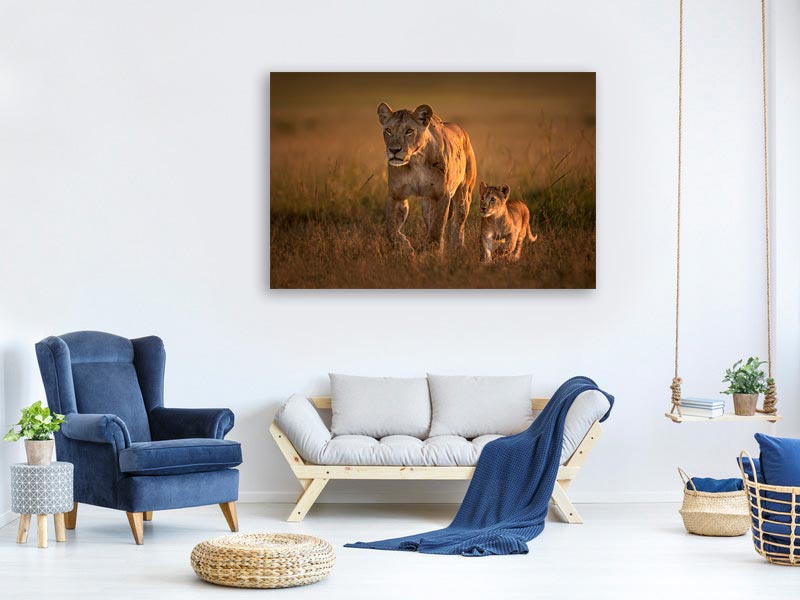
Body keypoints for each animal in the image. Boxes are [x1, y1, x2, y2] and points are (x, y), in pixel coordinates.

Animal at [377, 102, 477, 253]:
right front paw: (405, 246)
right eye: (388, 130)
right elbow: (391, 229)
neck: (415, 160)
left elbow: (437, 229)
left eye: (409, 131)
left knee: (458, 223)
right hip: (427, 203)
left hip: (464, 193)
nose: (394, 150)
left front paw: (432, 254)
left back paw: (457, 249)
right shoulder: (396, 195)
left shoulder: (441, 195)